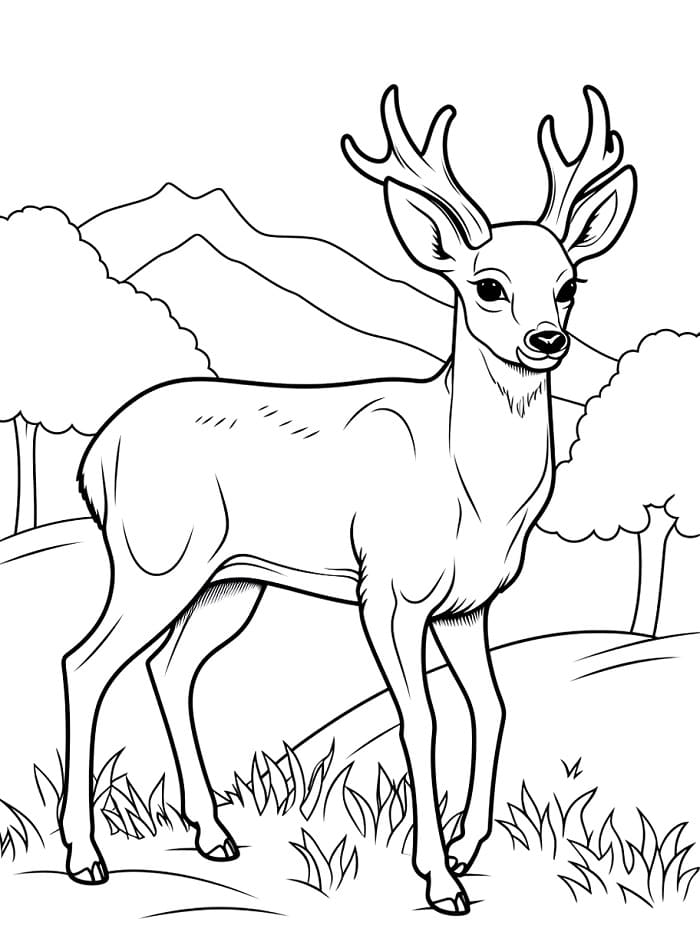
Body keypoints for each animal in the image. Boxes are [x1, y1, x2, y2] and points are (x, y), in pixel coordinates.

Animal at [59, 85, 636, 915]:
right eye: (488, 285)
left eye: (570, 285)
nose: (546, 339)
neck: (473, 491)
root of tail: (95, 457)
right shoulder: (390, 590)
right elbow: (420, 719)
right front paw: (440, 880)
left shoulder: (470, 605)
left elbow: (491, 708)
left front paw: (468, 849)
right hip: (153, 558)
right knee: (85, 663)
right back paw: (85, 857)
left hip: (230, 582)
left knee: (169, 668)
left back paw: (215, 836)